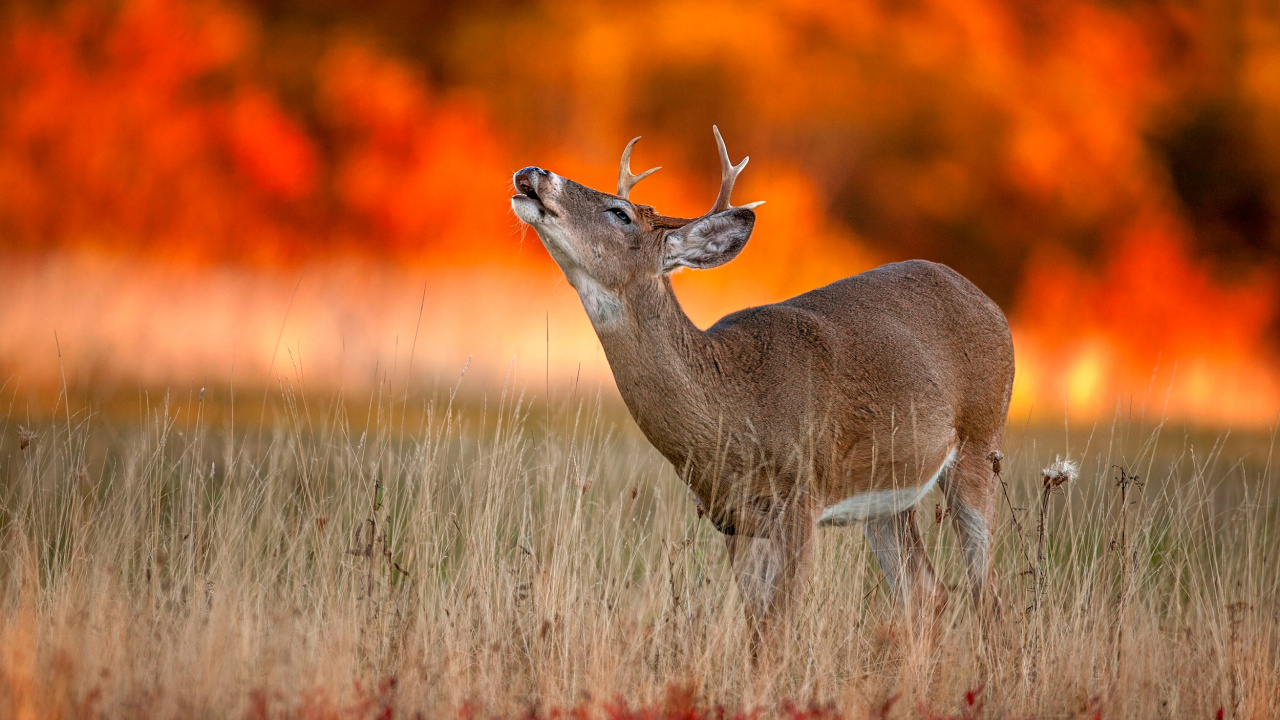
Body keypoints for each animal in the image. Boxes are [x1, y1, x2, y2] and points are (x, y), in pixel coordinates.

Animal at [510, 127, 1015, 654]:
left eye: (620, 213)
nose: (534, 173)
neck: (733, 408)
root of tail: (990, 304)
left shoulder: (801, 500)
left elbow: (777, 631)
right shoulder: (731, 520)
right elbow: (758, 634)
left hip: (981, 441)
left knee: (987, 594)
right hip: (887, 495)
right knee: (927, 594)